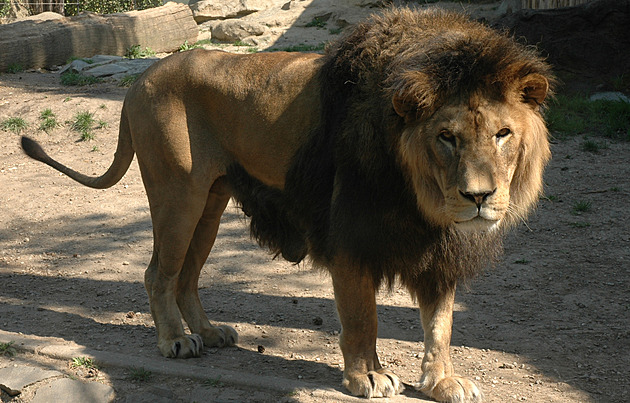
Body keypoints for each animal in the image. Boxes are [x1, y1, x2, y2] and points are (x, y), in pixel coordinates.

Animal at [19, 7, 552, 402]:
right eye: (447, 137)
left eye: (503, 134)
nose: (479, 197)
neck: (423, 198)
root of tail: (141, 78)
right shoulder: (348, 237)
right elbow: (363, 316)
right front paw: (367, 376)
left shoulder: (438, 251)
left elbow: (440, 324)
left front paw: (442, 381)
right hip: (177, 195)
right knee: (158, 274)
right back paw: (175, 340)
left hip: (210, 202)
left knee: (187, 276)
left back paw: (210, 333)